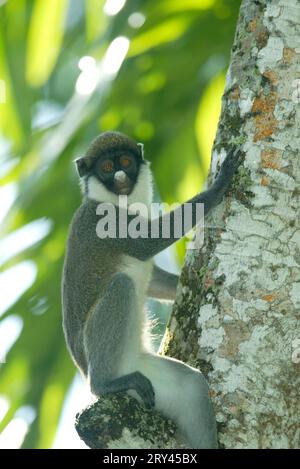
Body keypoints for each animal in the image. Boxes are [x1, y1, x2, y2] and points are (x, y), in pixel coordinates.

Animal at [61, 131, 241, 446]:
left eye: (125, 162)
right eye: (106, 168)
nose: (121, 176)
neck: (120, 203)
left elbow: (153, 278)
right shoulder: (106, 222)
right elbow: (149, 242)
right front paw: (219, 185)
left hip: (155, 381)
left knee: (192, 384)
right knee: (121, 286)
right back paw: (104, 384)